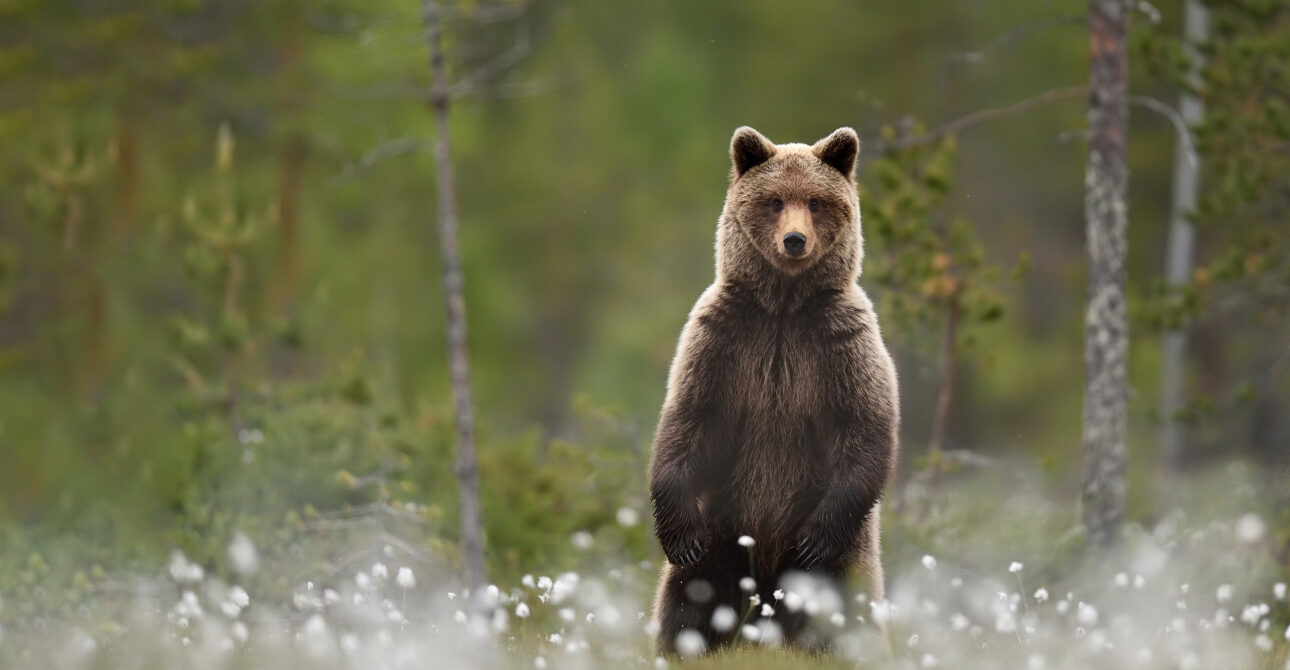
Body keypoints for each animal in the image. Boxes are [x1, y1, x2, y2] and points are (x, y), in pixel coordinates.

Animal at [648, 126, 900, 656]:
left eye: (817, 201)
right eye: (775, 200)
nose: (795, 239)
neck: (783, 308)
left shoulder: (840, 343)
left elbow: (865, 428)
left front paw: (815, 538)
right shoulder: (723, 340)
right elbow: (689, 419)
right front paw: (678, 535)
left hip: (846, 561)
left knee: (843, 612)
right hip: (723, 531)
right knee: (688, 603)